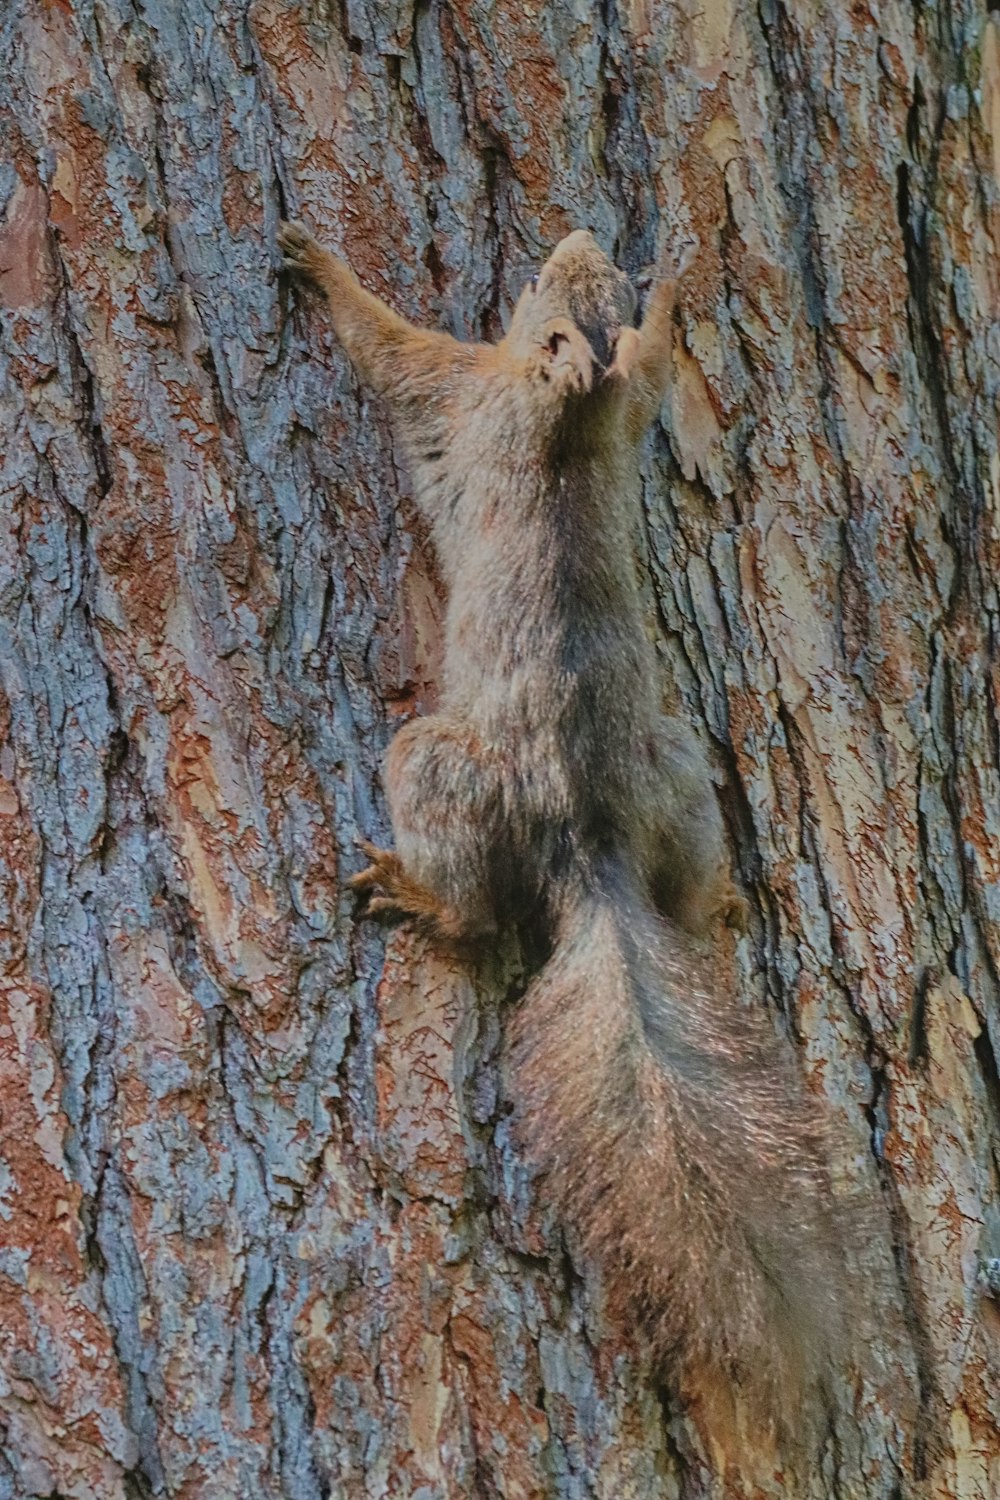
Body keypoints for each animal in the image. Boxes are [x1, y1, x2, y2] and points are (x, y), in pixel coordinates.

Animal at [277, 219, 851, 1428]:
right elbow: (654, 372)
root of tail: (587, 839)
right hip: (677, 768)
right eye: (583, 281)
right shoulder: (618, 405)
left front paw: (323, 268)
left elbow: (390, 351)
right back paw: (718, 898)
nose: (578, 233)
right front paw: (679, 297)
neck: (570, 412)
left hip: (436, 766)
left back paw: (415, 891)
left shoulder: (461, 391)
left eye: (543, 286)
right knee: (688, 867)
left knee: (472, 912)